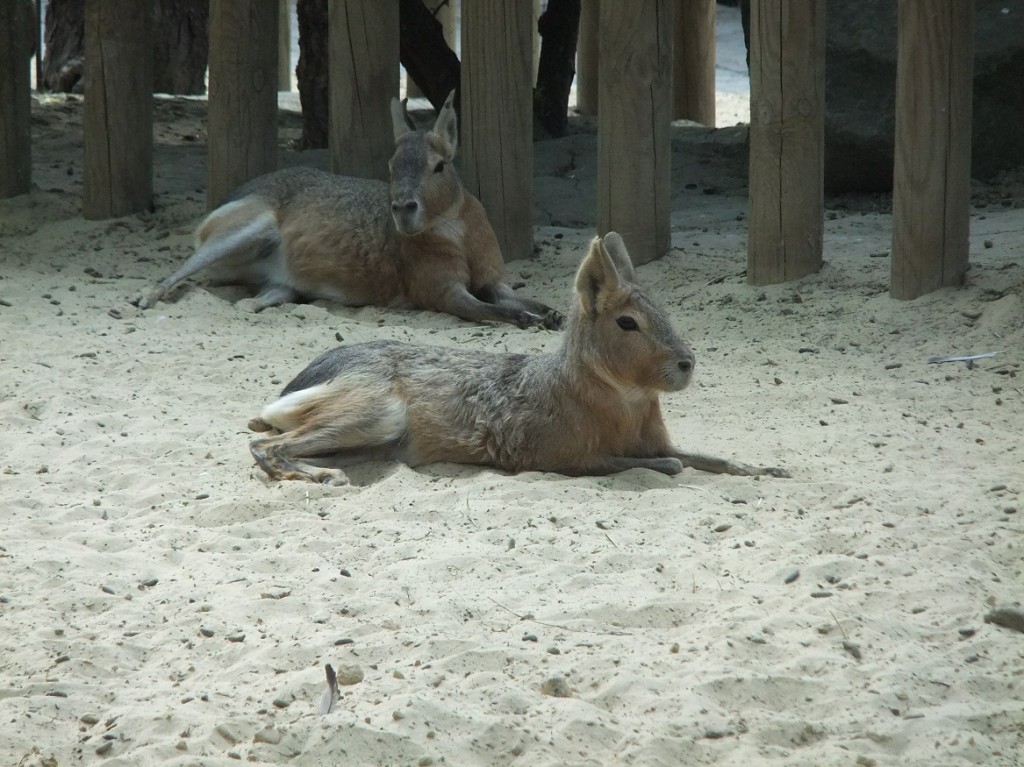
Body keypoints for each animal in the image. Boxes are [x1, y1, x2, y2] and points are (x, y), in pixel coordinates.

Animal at [134, 91, 563, 330]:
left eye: (439, 166)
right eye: (390, 166)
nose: (402, 208)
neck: (454, 227)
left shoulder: (495, 280)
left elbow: (524, 299)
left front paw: (553, 314)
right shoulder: (442, 292)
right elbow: (490, 311)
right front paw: (531, 321)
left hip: (282, 282)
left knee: (259, 296)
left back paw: (249, 305)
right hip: (247, 225)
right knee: (179, 272)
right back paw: (146, 298)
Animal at [247, 232, 788, 485]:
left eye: (664, 310)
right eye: (627, 323)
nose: (687, 363)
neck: (624, 406)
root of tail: (302, 378)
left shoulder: (655, 441)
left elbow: (709, 456)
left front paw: (766, 469)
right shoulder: (563, 457)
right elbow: (666, 465)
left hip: (374, 441)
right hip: (374, 412)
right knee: (265, 445)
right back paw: (318, 477)